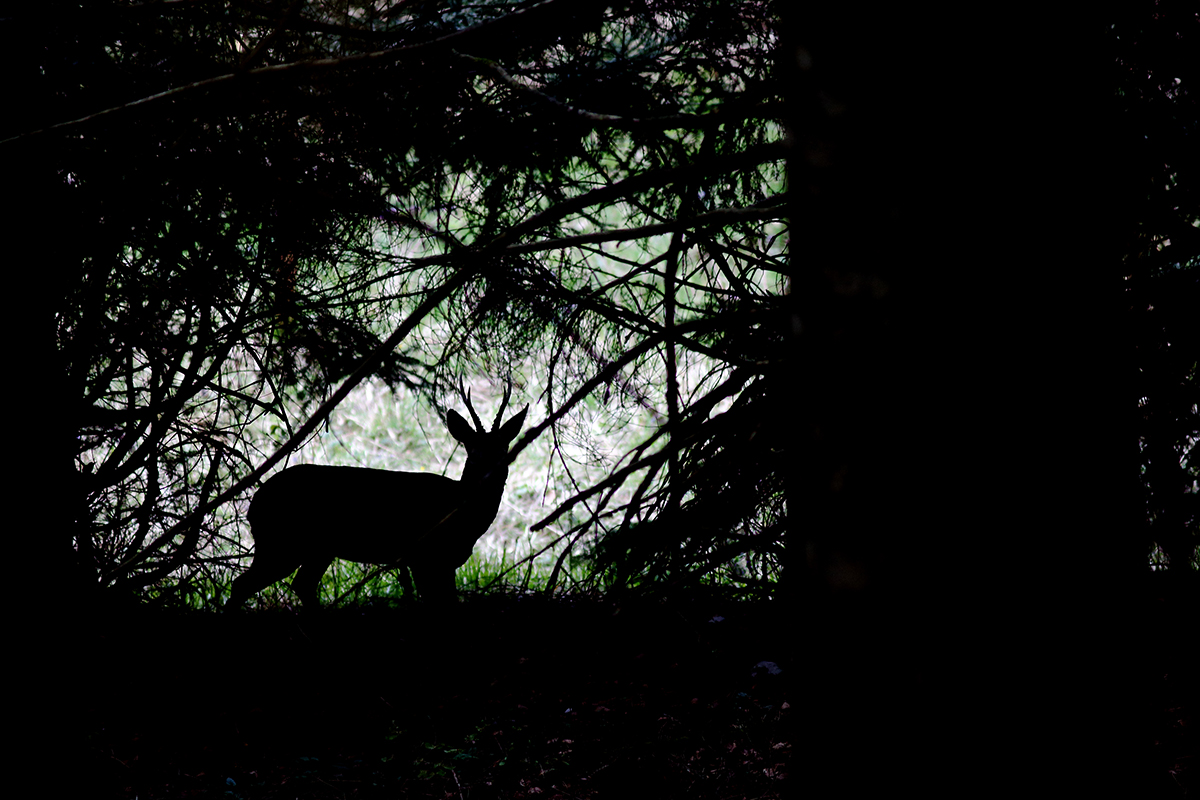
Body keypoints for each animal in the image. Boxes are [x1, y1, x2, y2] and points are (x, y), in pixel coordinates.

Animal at [226, 386, 528, 606]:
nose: (490, 478)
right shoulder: (422, 556)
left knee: (300, 584)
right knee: (243, 584)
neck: (458, 513)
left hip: (314, 547)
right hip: (283, 542)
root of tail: (254, 504)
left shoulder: (445, 564)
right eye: (473, 455)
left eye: (504, 452)